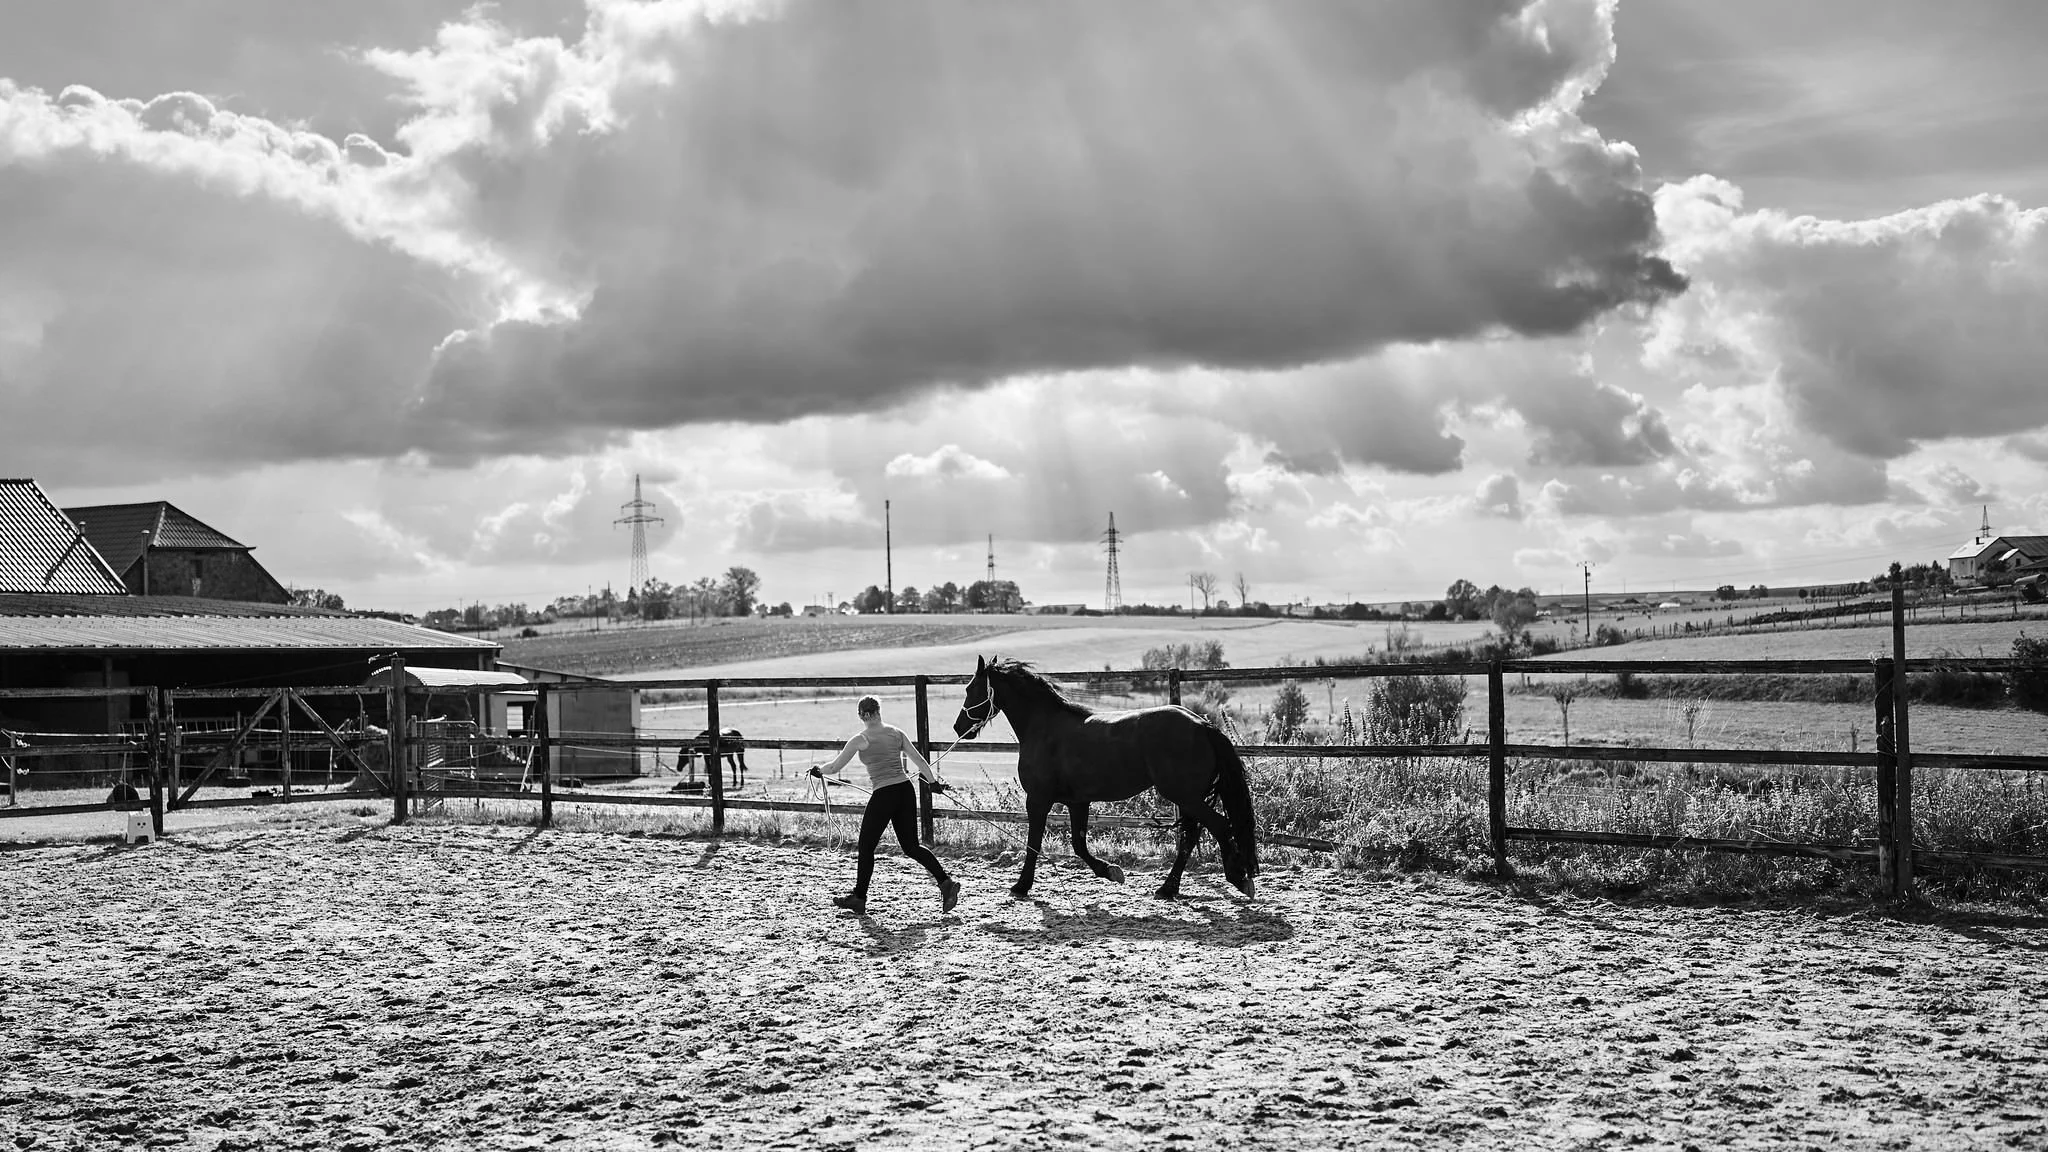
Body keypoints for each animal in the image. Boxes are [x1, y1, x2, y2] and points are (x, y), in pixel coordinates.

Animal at [952, 655, 1257, 900]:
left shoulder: (1038, 800)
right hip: (1188, 798)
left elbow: (1034, 843)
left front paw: (1021, 886)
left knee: (1218, 827)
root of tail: (1203, 725)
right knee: (1191, 836)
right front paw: (1111, 871)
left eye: (971, 688)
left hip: (1184, 796)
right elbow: (1078, 844)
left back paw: (1238, 880)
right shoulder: (1077, 802)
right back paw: (1168, 888)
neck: (1044, 727)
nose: (958, 727)